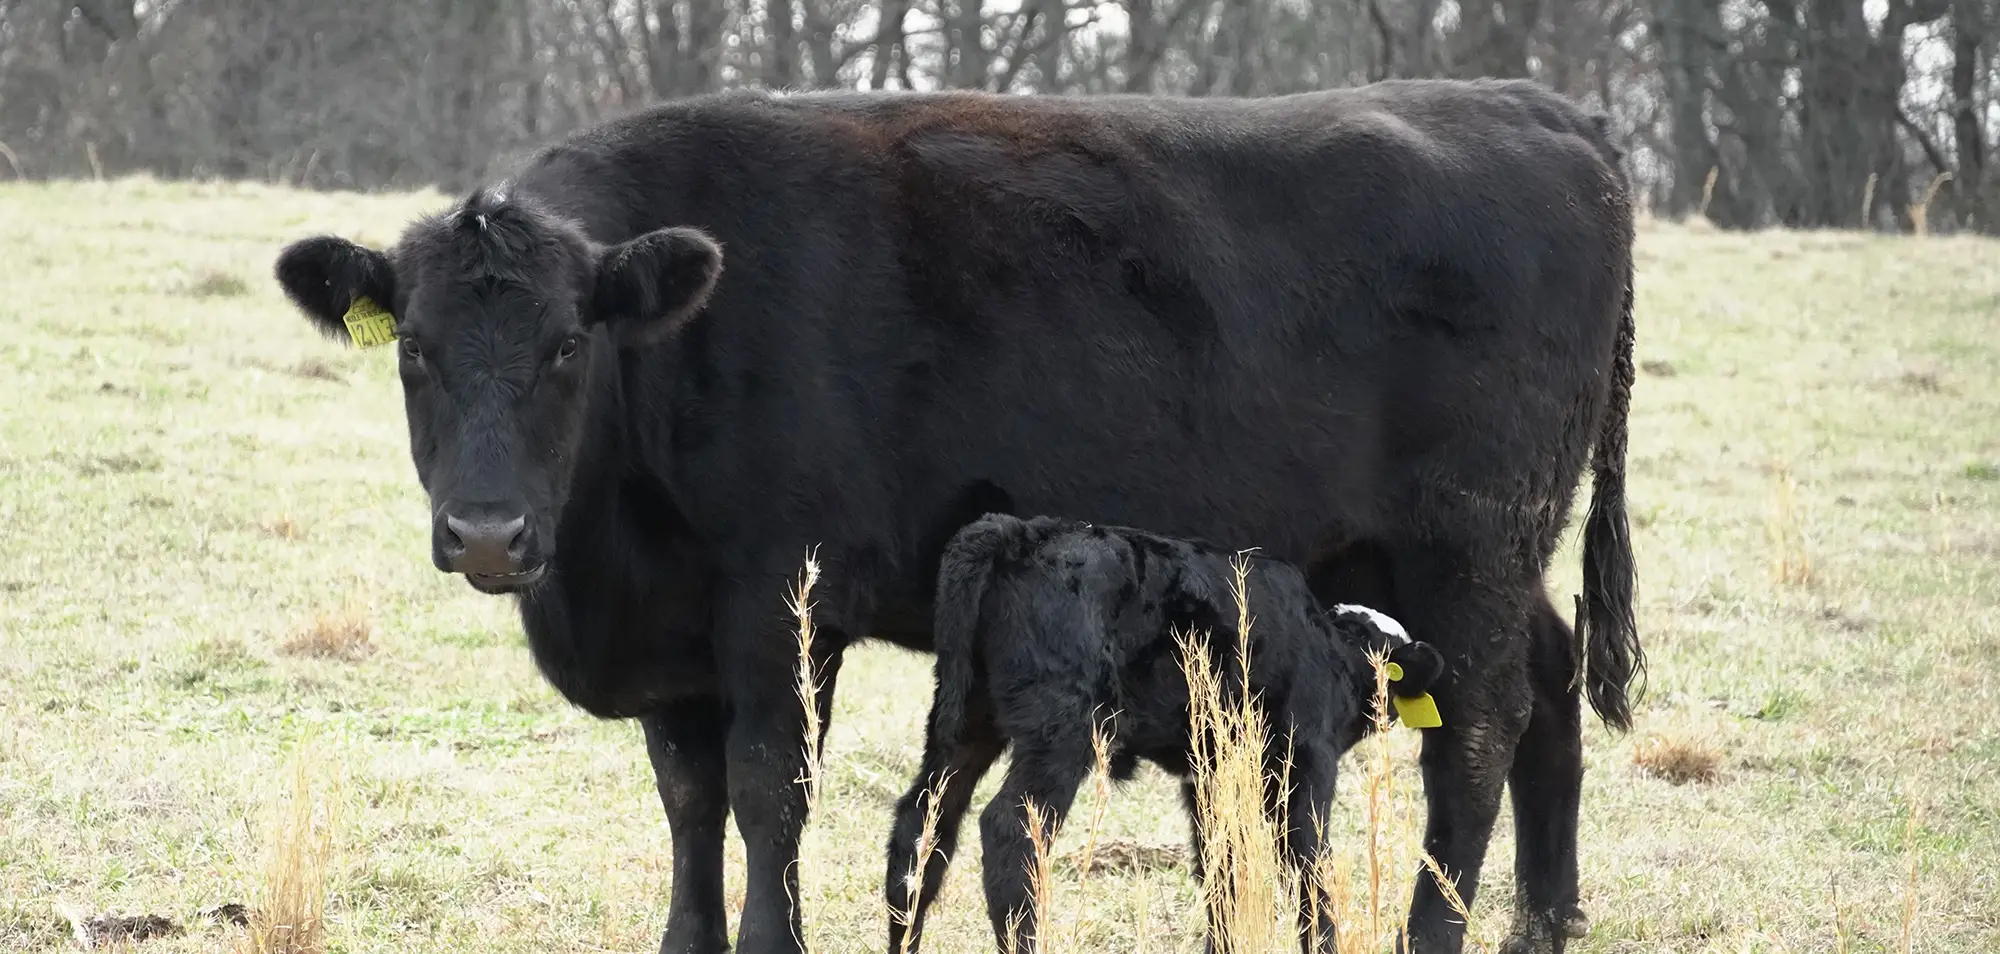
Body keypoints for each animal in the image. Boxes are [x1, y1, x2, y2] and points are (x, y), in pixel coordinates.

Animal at [884, 513, 1449, 954]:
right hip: (1061, 732)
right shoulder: (1305, 761)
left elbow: (1221, 869)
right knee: (1010, 830)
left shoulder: (1210, 774)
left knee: (922, 823)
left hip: (962, 719)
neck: (1331, 647)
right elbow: (1309, 868)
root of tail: (1018, 531)